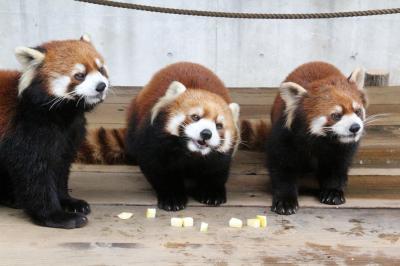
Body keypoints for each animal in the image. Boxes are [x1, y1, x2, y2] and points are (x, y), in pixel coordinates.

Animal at [0, 34, 109, 228]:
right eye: (79, 75)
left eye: (101, 69)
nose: (101, 86)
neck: (63, 115)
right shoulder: (27, 132)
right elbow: (35, 175)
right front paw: (56, 216)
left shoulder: (69, 136)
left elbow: (60, 168)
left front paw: (69, 202)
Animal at [123, 62, 239, 212]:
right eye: (195, 117)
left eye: (218, 125)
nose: (206, 133)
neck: (190, 153)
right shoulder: (154, 141)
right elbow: (159, 169)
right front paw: (172, 198)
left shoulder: (219, 158)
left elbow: (217, 171)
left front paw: (211, 193)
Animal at [268, 61, 368, 215]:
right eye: (336, 115)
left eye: (357, 111)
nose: (355, 127)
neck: (322, 141)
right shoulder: (285, 138)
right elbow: (282, 169)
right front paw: (285, 201)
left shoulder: (343, 149)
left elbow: (336, 168)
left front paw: (333, 192)